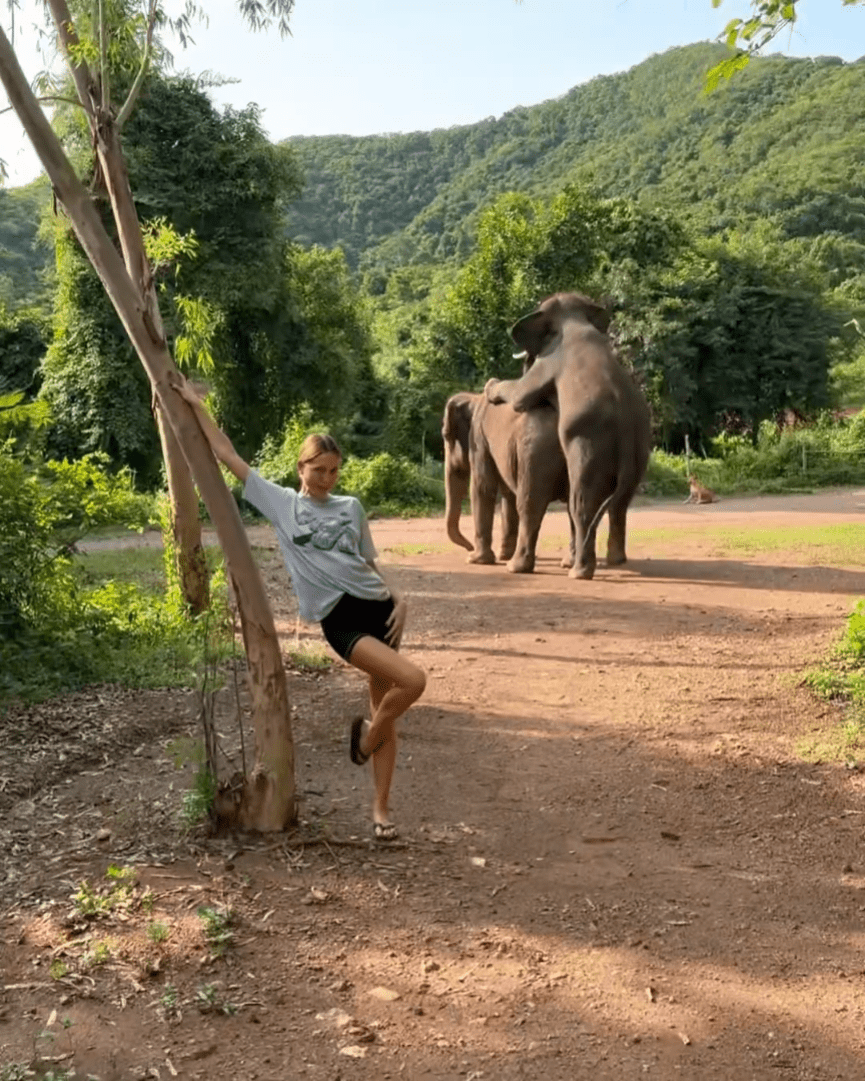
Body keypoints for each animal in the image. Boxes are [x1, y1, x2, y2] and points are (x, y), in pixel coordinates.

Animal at [438, 389, 575, 575]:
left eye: (446, 435)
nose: (469, 548)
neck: (474, 398)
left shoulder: (479, 438)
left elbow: (482, 487)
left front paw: (476, 560)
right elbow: (507, 492)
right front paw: (502, 556)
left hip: (535, 453)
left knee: (530, 503)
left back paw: (516, 567)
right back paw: (567, 564)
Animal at [473, 291, 648, 579]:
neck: (574, 318)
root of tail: (625, 426)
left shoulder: (547, 361)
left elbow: (521, 396)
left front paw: (490, 386)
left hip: (588, 443)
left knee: (578, 504)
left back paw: (573, 572)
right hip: (640, 449)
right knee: (620, 503)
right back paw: (614, 561)